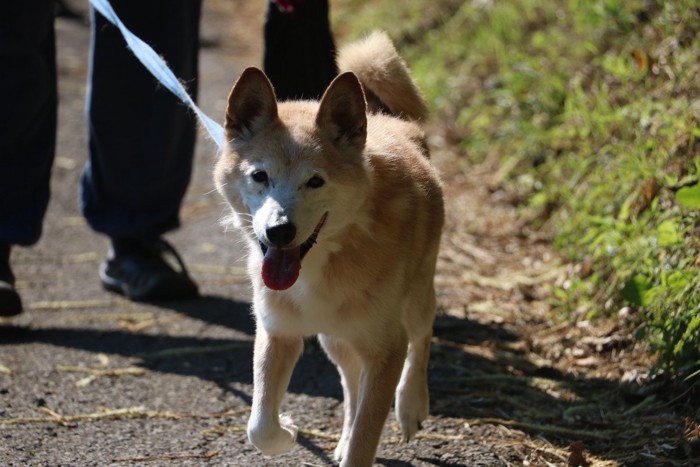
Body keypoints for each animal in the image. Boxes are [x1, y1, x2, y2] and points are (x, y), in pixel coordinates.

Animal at [213, 31, 442, 466]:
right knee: (351, 385)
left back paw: (411, 405)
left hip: (415, 301)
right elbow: (260, 425)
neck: (321, 266)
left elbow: (367, 437)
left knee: (422, 339)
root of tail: (388, 119)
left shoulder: (387, 349)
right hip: (336, 340)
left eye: (315, 181)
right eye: (259, 176)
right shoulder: (277, 333)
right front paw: (287, 430)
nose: (279, 232)